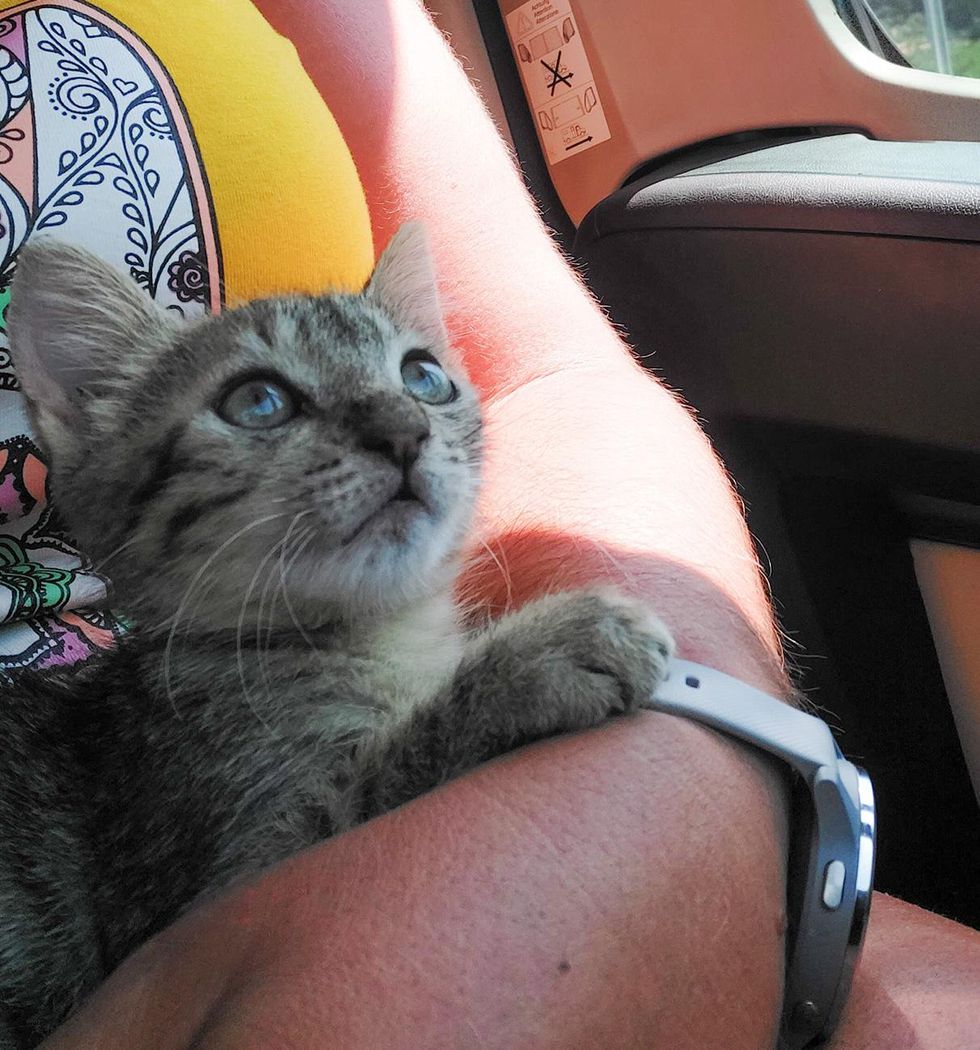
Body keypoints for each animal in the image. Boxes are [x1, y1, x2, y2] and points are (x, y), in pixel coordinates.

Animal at [0, 225, 672, 1045]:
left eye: (423, 378)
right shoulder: (200, 890)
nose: (404, 430)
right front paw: (536, 656)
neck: (380, 637)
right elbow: (371, 782)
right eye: (257, 401)